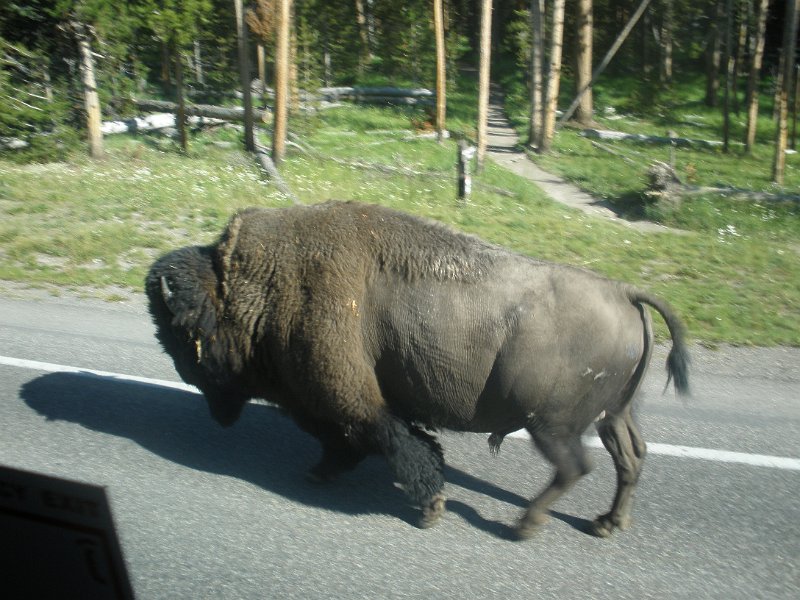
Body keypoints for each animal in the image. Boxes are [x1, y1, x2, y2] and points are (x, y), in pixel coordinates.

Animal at [145, 200, 689, 538]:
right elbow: (366, 442)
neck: (260, 285)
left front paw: (429, 510)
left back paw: (524, 526)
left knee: (575, 466)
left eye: (182, 335)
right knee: (630, 458)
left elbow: (392, 442)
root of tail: (624, 292)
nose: (206, 398)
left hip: (551, 426)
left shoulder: (352, 397)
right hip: (613, 416)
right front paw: (322, 472)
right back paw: (605, 523)